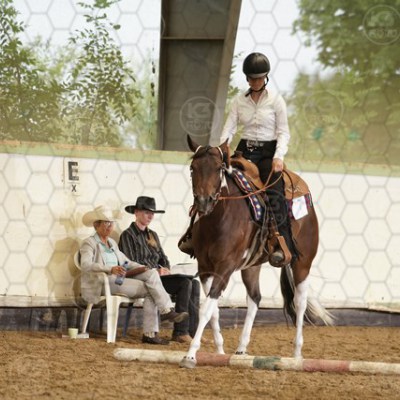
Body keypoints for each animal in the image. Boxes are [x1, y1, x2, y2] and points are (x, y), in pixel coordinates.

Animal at [179, 135, 332, 369]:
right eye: (192, 168)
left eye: (218, 168)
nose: (204, 202)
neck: (219, 219)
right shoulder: (205, 269)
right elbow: (213, 311)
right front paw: (220, 352)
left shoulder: (225, 268)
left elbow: (206, 309)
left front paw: (190, 355)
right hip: (251, 266)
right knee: (254, 298)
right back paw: (241, 350)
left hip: (302, 263)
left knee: (300, 302)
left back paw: (297, 355)